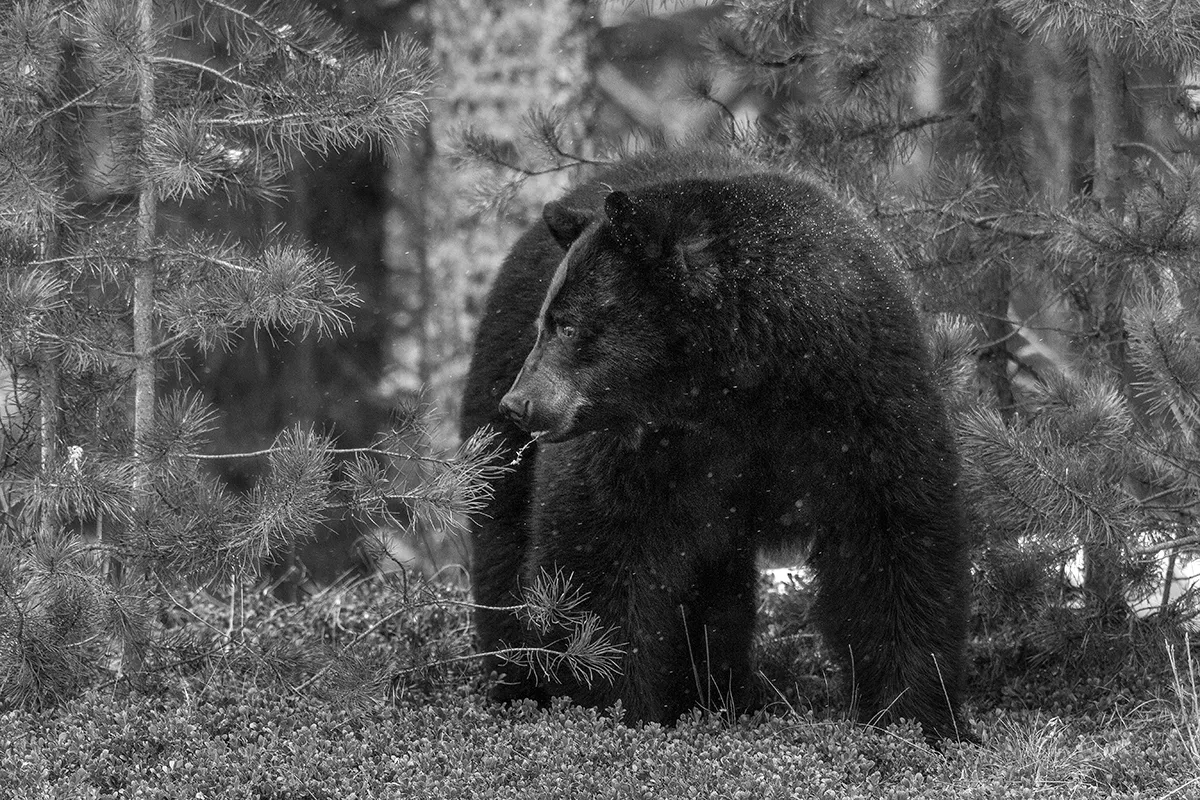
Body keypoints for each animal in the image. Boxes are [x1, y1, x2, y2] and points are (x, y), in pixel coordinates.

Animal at [460, 147, 972, 740]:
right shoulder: (639, 446)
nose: (519, 404)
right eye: (548, 321)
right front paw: (611, 712)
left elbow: (891, 541)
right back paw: (519, 683)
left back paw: (722, 695)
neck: (741, 382)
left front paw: (914, 718)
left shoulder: (865, 396)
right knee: (504, 539)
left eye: (567, 326)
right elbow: (601, 551)